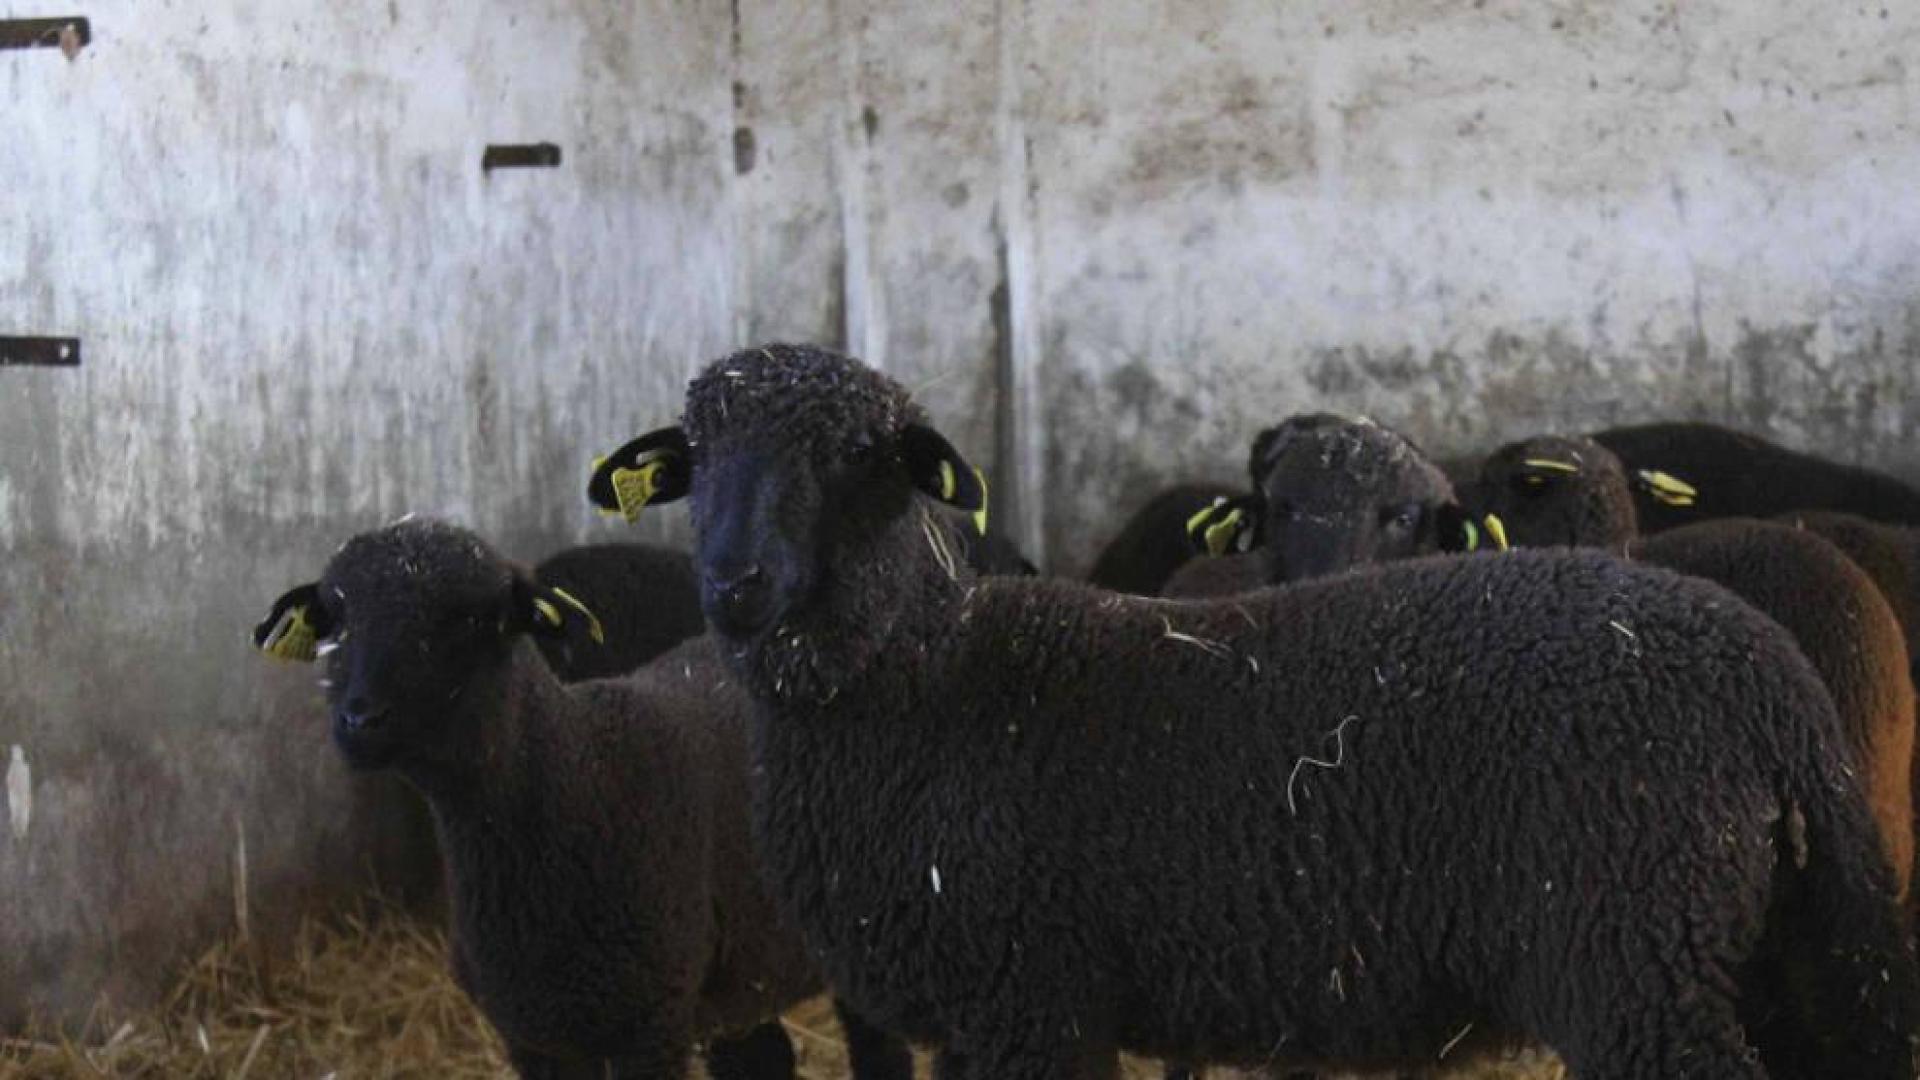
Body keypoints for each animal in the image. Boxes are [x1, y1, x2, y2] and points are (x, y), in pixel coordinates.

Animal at [251, 518, 912, 1080]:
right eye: (335, 621)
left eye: (470, 620)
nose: (360, 720)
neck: (578, 780)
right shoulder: (536, 1037)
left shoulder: (649, 1025)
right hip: (745, 964)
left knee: (882, 1053)